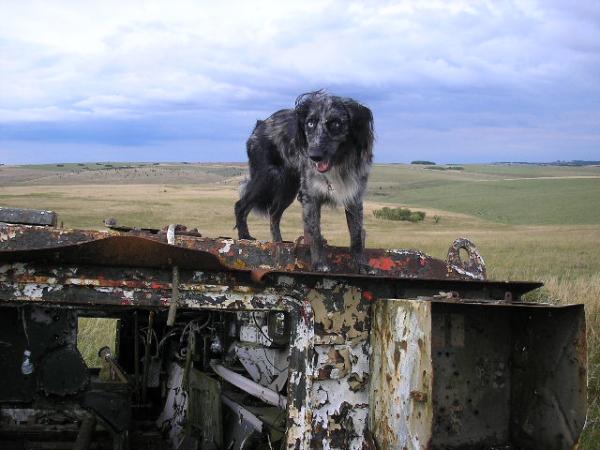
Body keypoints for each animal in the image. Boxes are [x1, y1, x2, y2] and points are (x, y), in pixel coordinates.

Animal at [236, 90, 372, 270]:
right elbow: (315, 234)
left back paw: (279, 243)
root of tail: (260, 125)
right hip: (268, 177)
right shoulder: (310, 196)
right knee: (241, 205)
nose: (313, 155)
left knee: (274, 214)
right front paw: (320, 263)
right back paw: (244, 237)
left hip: (289, 188)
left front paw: (361, 264)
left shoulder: (354, 197)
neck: (338, 163)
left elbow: (356, 234)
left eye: (336, 123)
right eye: (310, 123)